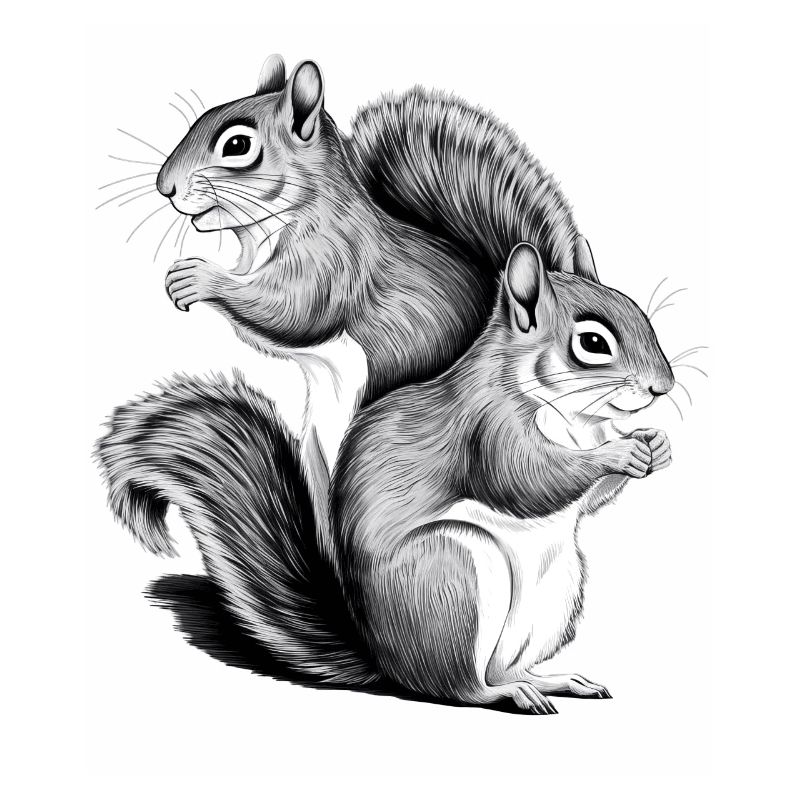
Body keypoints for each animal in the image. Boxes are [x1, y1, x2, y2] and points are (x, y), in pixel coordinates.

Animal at [96, 242, 675, 714]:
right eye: (593, 342)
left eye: (641, 315)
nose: (663, 388)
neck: (576, 419)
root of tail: (382, 659)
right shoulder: (486, 426)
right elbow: (524, 480)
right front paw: (620, 452)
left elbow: (589, 502)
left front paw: (655, 446)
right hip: (449, 572)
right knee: (459, 686)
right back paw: (509, 694)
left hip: (557, 588)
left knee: (502, 665)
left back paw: (554, 680)